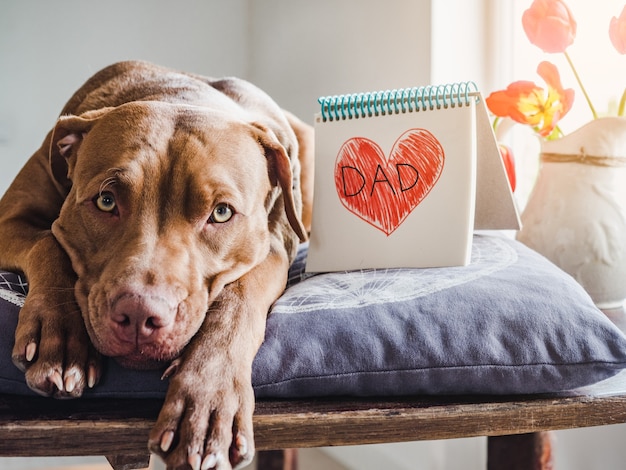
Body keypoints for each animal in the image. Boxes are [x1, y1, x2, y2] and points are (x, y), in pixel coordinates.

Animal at [0, 61, 312, 470]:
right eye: (105, 200)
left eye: (222, 212)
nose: (138, 314)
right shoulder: (9, 219)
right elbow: (48, 241)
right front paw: (61, 338)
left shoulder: (273, 248)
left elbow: (238, 300)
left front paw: (205, 402)